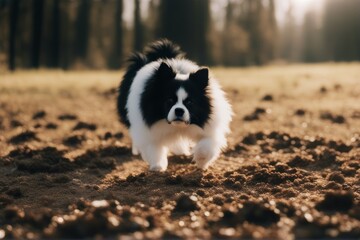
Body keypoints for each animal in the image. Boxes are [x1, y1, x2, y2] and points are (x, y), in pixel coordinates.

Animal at [116, 39, 232, 171]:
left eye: (190, 102)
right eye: (170, 100)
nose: (179, 110)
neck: (177, 127)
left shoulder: (210, 129)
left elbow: (207, 145)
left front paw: (201, 161)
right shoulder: (148, 132)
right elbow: (154, 149)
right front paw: (158, 166)